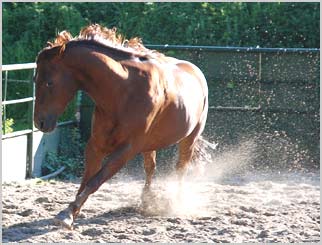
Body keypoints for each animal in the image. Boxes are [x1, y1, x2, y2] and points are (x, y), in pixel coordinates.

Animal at [33, 23, 209, 229]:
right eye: (35, 80)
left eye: (49, 82)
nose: (39, 122)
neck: (123, 91)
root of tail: (196, 72)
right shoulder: (96, 145)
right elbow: (86, 181)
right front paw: (70, 213)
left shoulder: (126, 150)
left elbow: (95, 181)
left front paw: (67, 213)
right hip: (150, 145)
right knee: (150, 168)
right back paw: (146, 201)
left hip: (189, 138)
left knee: (181, 168)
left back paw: (175, 202)